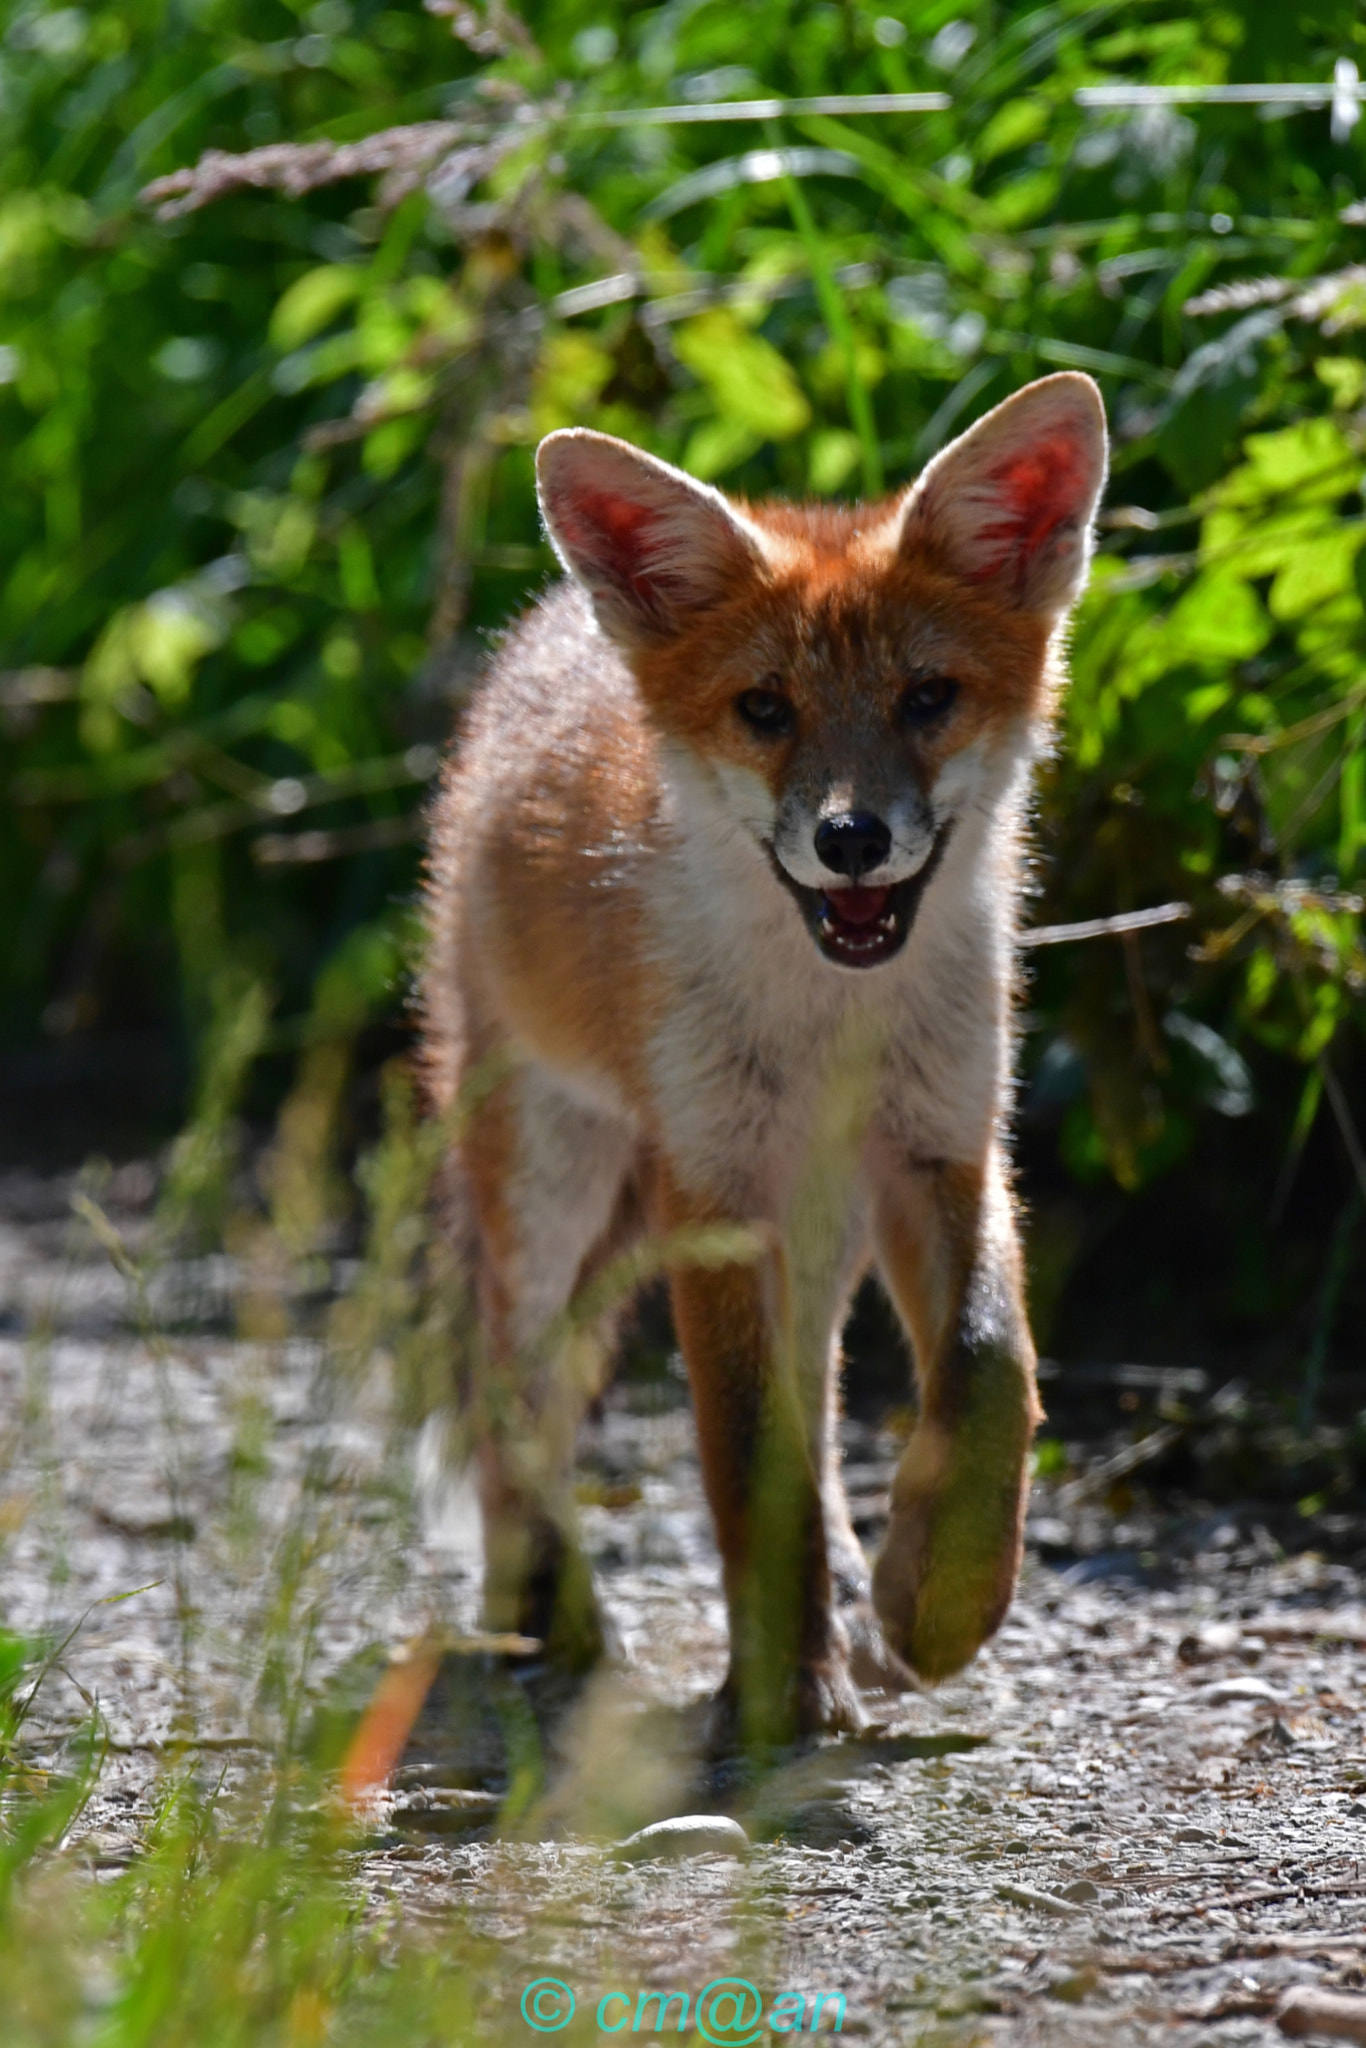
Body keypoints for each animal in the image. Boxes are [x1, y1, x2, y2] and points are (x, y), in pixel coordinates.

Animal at [420, 371, 1108, 1744]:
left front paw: (935, 1599)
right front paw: (783, 1683)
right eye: (766, 710)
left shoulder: (944, 1143)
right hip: (558, 1182)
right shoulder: (711, 1186)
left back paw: (850, 1588)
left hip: (817, 1219)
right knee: (508, 1383)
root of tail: (541, 632)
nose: (851, 838)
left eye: (926, 697)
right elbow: (746, 1450)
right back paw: (544, 1599)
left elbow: (986, 1371)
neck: (826, 1026)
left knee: (818, 1401)